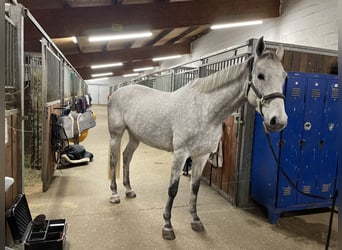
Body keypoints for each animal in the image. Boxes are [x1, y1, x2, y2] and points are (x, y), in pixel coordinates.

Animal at [108, 37, 288, 240]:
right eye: (260, 75)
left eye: (284, 76)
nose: (278, 121)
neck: (205, 110)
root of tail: (117, 92)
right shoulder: (180, 154)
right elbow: (173, 189)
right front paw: (167, 226)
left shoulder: (201, 156)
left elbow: (195, 187)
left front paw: (195, 220)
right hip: (116, 134)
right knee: (114, 160)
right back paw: (114, 194)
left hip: (134, 136)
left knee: (126, 157)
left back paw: (129, 190)